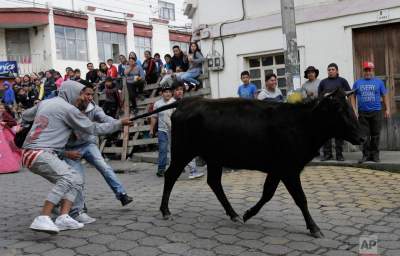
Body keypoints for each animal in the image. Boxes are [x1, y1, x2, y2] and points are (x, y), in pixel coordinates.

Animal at [134, 89, 362, 238]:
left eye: (350, 108)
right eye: (339, 110)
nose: (362, 136)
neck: (300, 123)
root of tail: (187, 101)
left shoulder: (278, 169)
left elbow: (268, 193)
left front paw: (248, 213)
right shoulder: (289, 170)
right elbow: (301, 199)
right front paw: (314, 228)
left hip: (214, 158)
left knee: (214, 182)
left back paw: (234, 214)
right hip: (183, 152)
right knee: (171, 175)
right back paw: (165, 211)